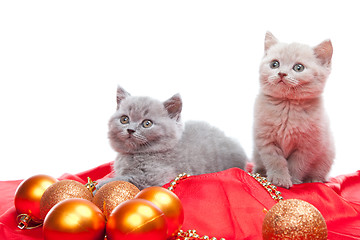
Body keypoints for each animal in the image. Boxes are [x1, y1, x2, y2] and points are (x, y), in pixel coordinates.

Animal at [97, 86, 248, 189]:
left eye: (147, 123)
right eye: (124, 119)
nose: (130, 130)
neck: (134, 154)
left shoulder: (150, 177)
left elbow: (122, 180)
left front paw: (99, 184)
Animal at [253, 31, 334, 188]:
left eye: (298, 68)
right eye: (274, 64)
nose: (281, 73)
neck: (287, 106)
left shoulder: (307, 147)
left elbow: (297, 165)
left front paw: (294, 181)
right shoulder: (266, 140)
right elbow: (275, 161)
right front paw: (279, 179)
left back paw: (314, 179)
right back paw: (259, 172)